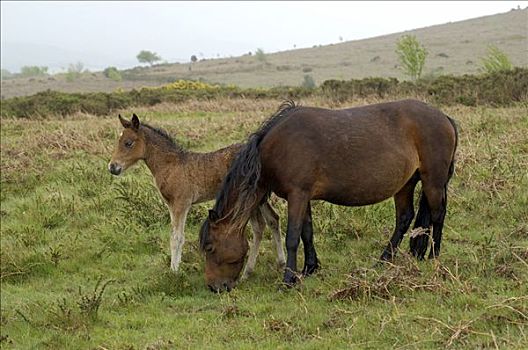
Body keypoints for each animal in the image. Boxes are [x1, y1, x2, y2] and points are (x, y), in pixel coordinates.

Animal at [108, 113, 286, 278]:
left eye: (128, 143)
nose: (112, 167)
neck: (170, 165)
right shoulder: (171, 205)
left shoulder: (180, 204)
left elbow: (177, 237)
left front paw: (174, 272)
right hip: (259, 197)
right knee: (273, 219)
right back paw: (281, 263)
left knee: (259, 226)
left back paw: (247, 272)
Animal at [200, 100, 456, 292]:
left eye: (210, 247)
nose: (215, 287)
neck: (276, 148)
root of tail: (445, 117)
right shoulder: (302, 197)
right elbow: (307, 233)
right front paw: (309, 269)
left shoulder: (297, 195)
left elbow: (292, 237)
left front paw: (288, 280)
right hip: (406, 183)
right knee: (404, 218)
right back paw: (383, 260)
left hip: (433, 181)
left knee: (437, 215)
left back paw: (433, 257)